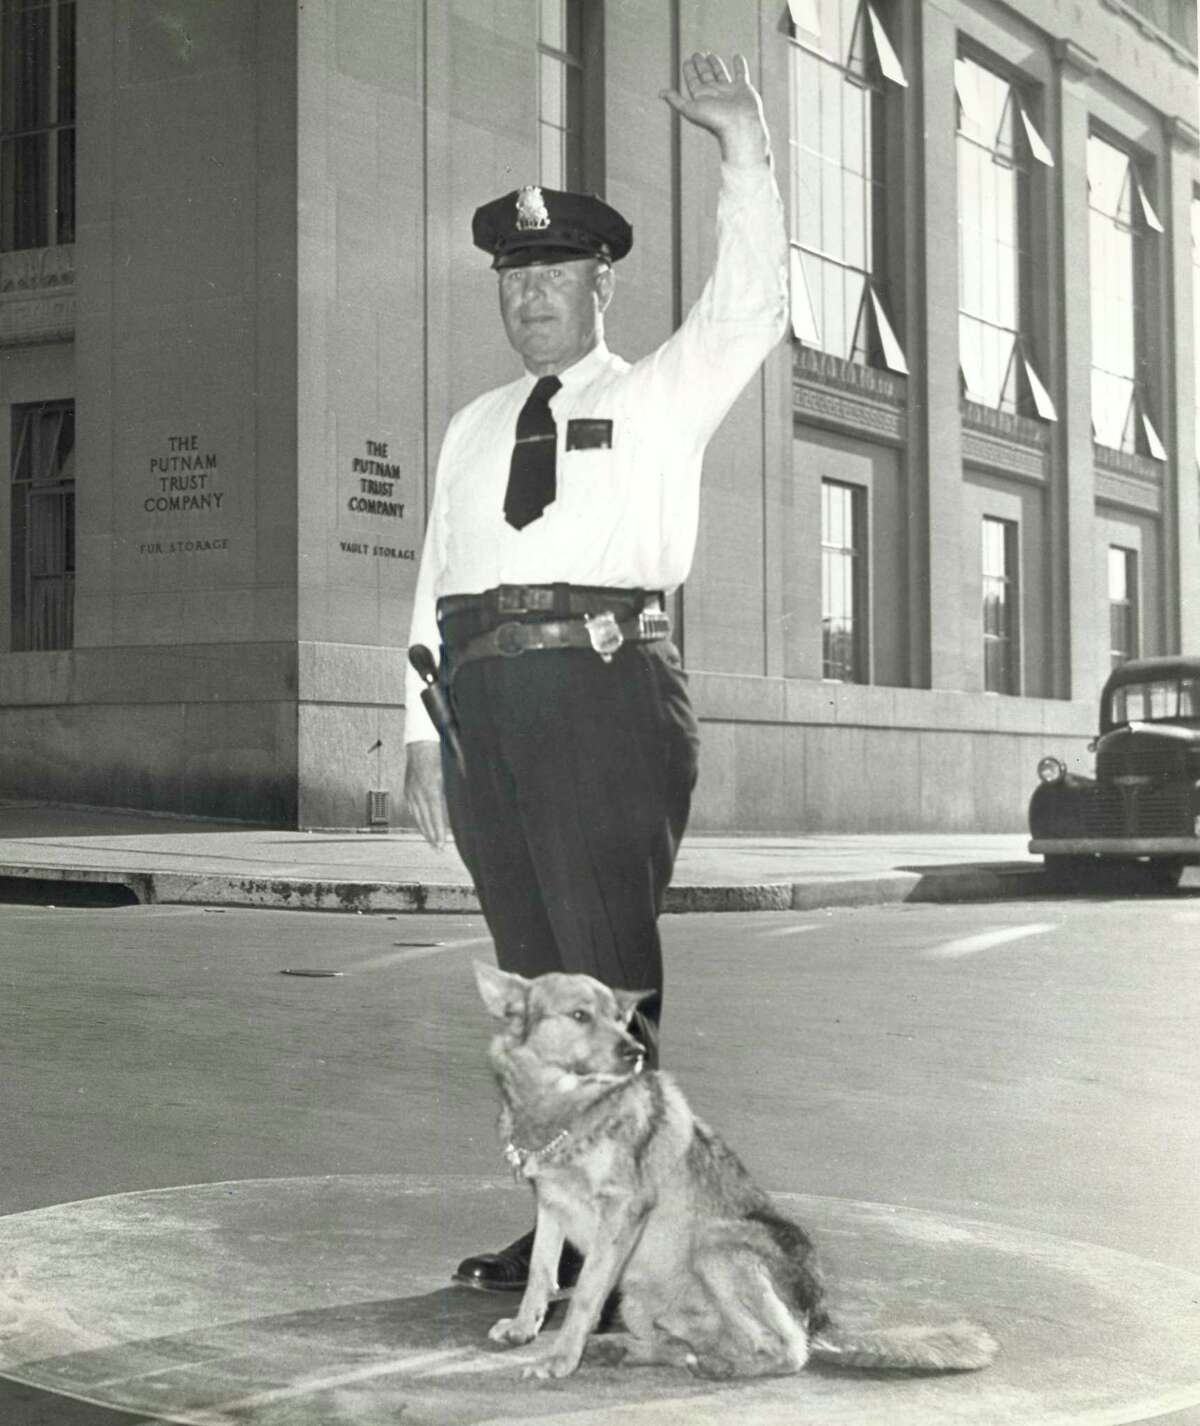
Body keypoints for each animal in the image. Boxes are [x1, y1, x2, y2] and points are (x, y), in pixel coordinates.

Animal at [473, 958, 997, 1380]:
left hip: (714, 1247)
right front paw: (524, 1330)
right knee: (683, 1345)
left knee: (789, 1351)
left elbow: (582, 1296)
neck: (566, 1112)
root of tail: (820, 1316)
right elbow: (541, 1274)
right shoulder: (551, 1205)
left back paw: (721, 1366)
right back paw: (633, 1350)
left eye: (621, 1020)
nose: (635, 1053)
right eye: (580, 1016)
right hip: (639, 1296)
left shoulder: (624, 1210)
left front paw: (559, 1360)